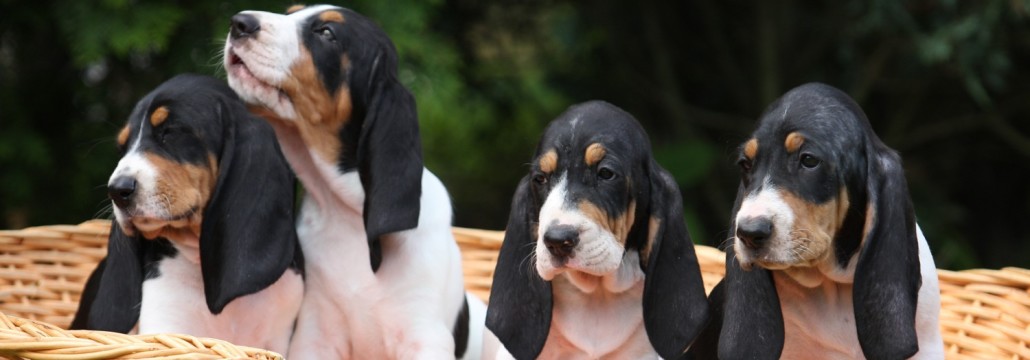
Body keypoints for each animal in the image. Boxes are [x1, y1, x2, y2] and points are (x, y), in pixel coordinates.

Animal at [70, 74, 302, 353]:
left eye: (170, 132)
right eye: (121, 148)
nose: (117, 190)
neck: (199, 260)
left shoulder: (278, 337)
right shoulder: (168, 329)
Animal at [225, 4, 482, 357]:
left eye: (327, 33)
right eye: (291, 12)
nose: (239, 23)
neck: (345, 213)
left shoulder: (424, 336)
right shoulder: (315, 335)